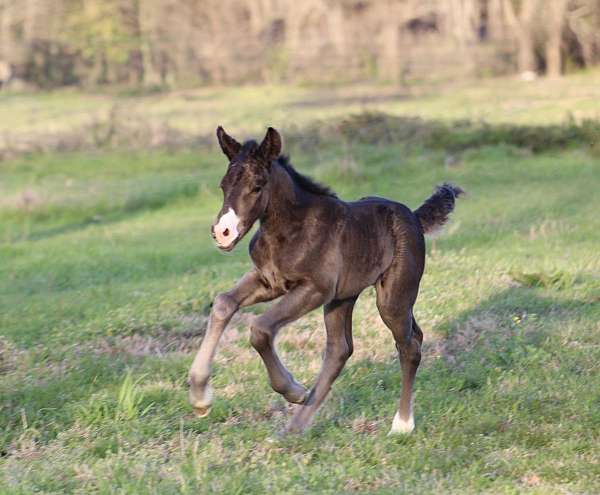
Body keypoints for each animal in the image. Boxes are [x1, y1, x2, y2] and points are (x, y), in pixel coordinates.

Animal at [188, 127, 464, 434]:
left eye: (257, 186)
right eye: (224, 185)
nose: (222, 233)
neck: (289, 231)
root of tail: (415, 218)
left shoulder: (315, 289)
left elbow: (260, 328)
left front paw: (293, 390)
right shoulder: (269, 281)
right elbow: (224, 303)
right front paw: (199, 397)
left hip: (393, 298)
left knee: (409, 345)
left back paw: (402, 425)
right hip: (343, 298)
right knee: (340, 350)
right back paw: (295, 427)